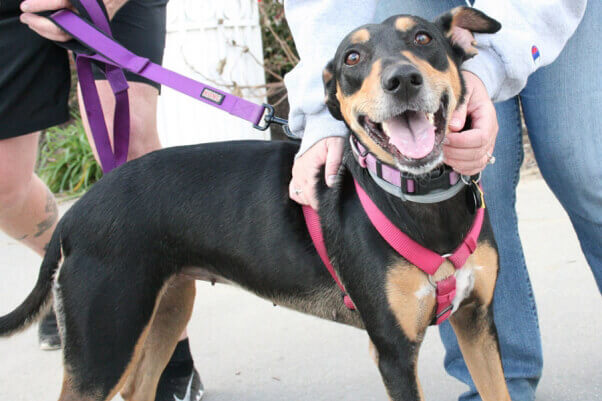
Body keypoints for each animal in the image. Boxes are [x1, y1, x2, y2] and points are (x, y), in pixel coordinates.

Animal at [0, 7, 506, 400]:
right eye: (353, 58)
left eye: (423, 38)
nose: (402, 80)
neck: (419, 198)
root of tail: (76, 213)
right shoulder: (394, 352)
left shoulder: (478, 322)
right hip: (105, 345)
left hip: (166, 308)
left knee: (138, 389)